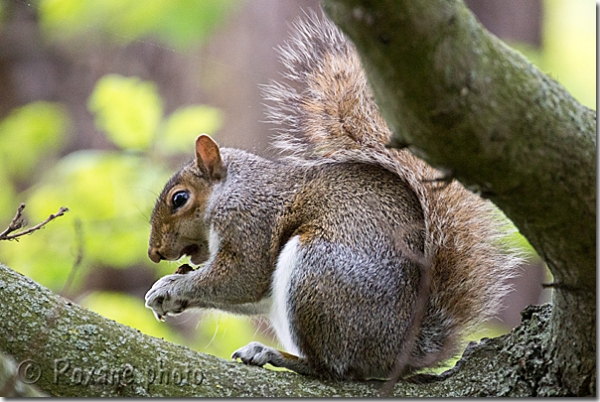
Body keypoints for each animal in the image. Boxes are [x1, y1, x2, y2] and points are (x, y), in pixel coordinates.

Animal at [145, 12, 520, 382]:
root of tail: (399, 352)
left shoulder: (250, 225)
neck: (234, 190)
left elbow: (241, 279)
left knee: (331, 368)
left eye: (179, 199)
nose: (154, 253)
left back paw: (272, 355)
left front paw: (170, 287)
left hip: (316, 275)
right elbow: (251, 294)